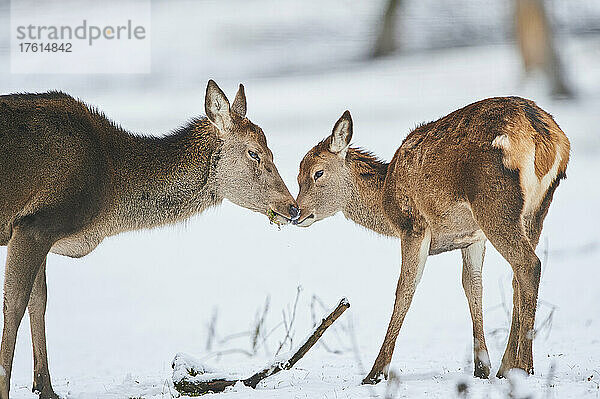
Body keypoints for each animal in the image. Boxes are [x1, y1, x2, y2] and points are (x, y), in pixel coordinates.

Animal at [0, 79, 298, 398]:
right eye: (254, 152)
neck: (108, 192)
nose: (292, 207)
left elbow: (39, 301)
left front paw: (45, 388)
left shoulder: (39, 234)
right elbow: (14, 304)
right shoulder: (34, 224)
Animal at [296, 97, 572, 384]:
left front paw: (375, 372)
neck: (385, 199)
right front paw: (481, 367)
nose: (297, 212)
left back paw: (525, 367)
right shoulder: (472, 237)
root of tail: (549, 139)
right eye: (298, 175)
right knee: (518, 276)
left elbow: (405, 289)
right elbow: (473, 286)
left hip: (495, 203)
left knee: (529, 265)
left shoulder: (413, 226)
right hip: (535, 210)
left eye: (317, 173)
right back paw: (507, 367)